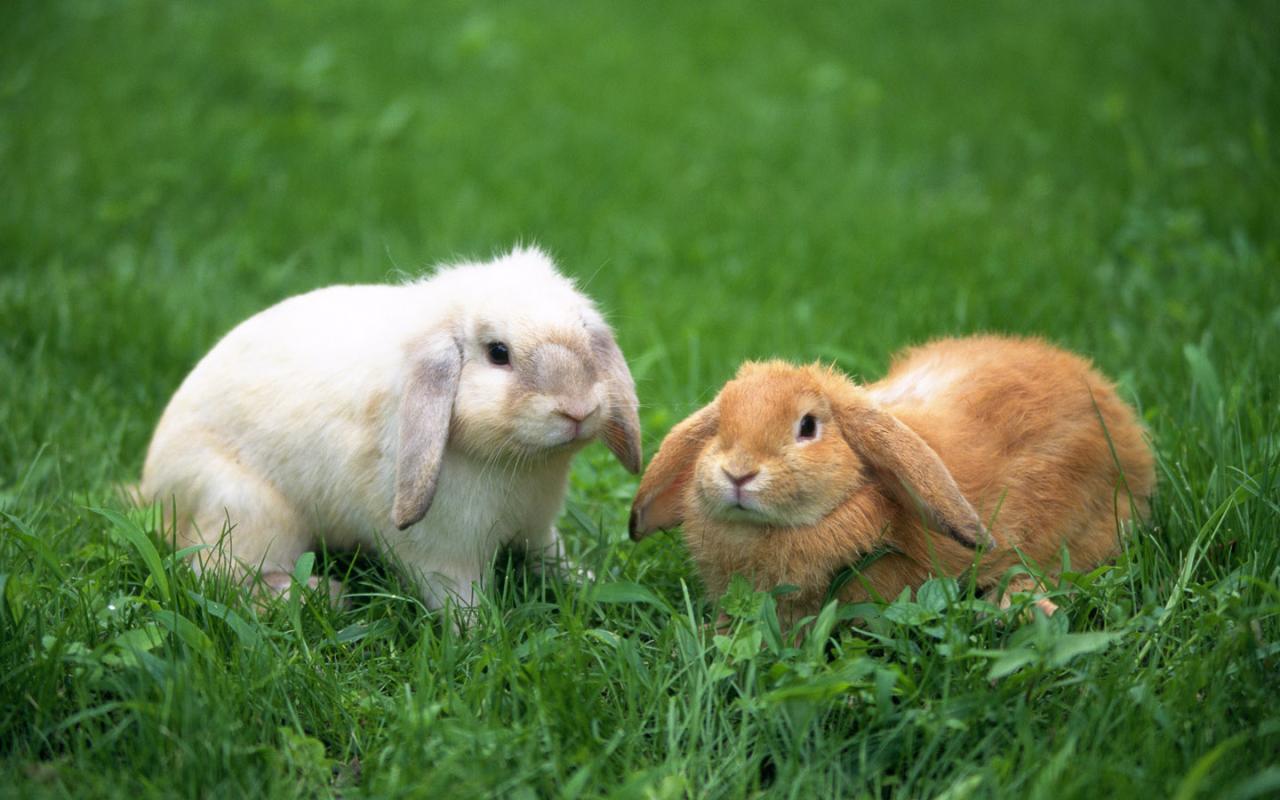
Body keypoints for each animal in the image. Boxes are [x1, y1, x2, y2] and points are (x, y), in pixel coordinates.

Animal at [140, 245, 641, 610]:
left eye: (584, 333)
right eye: (498, 353)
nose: (577, 410)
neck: (514, 466)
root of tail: (153, 486)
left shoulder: (538, 527)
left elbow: (551, 559)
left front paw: (587, 582)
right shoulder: (442, 557)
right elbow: (460, 603)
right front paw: (481, 643)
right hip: (250, 512)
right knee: (216, 573)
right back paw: (324, 595)